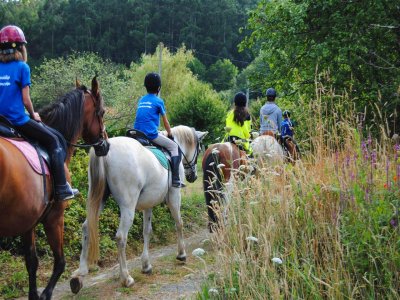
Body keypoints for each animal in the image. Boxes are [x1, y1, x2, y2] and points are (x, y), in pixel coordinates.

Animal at [0, 77, 107, 300]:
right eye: (102, 112)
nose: (105, 145)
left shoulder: (28, 220)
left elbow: (31, 261)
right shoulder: (55, 216)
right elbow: (60, 262)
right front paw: (46, 294)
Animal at [70, 125, 206, 292]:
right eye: (199, 149)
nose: (193, 176)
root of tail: (106, 148)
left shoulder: (148, 203)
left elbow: (147, 231)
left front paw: (146, 265)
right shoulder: (174, 195)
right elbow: (179, 223)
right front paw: (181, 254)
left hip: (98, 199)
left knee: (86, 227)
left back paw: (80, 274)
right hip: (128, 206)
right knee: (121, 237)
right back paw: (126, 278)